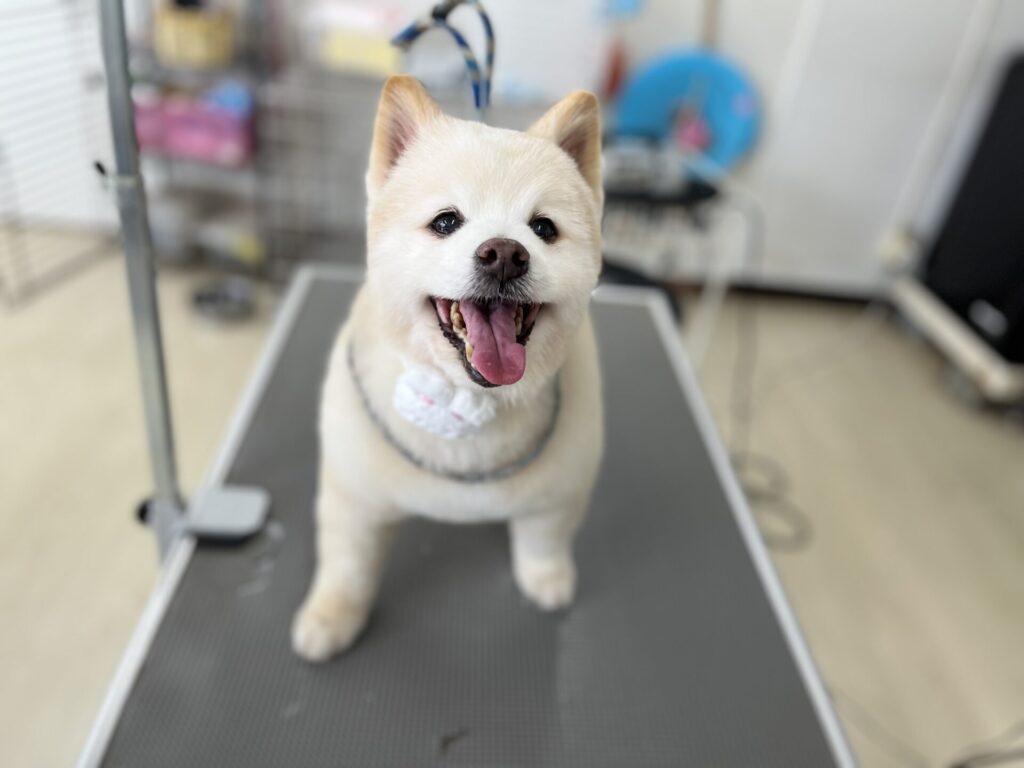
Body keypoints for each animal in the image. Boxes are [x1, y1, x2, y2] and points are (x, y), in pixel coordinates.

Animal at [292, 76, 605, 662]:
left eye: (543, 228)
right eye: (446, 221)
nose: (504, 253)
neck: (469, 402)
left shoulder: (558, 495)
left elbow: (543, 541)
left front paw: (546, 580)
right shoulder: (354, 500)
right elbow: (347, 567)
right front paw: (331, 617)